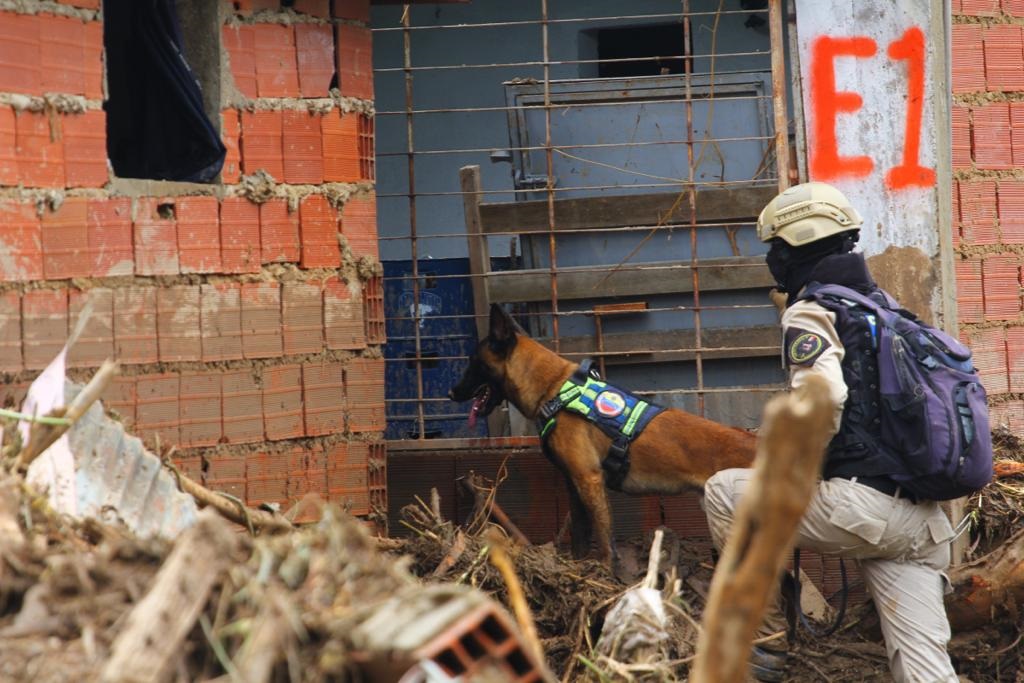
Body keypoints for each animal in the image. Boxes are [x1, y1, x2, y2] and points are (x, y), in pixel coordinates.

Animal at [450, 307, 761, 569]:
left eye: (473, 362)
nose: (451, 393)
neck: (553, 388)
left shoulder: (589, 479)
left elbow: (604, 540)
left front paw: (606, 575)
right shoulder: (574, 483)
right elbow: (580, 534)